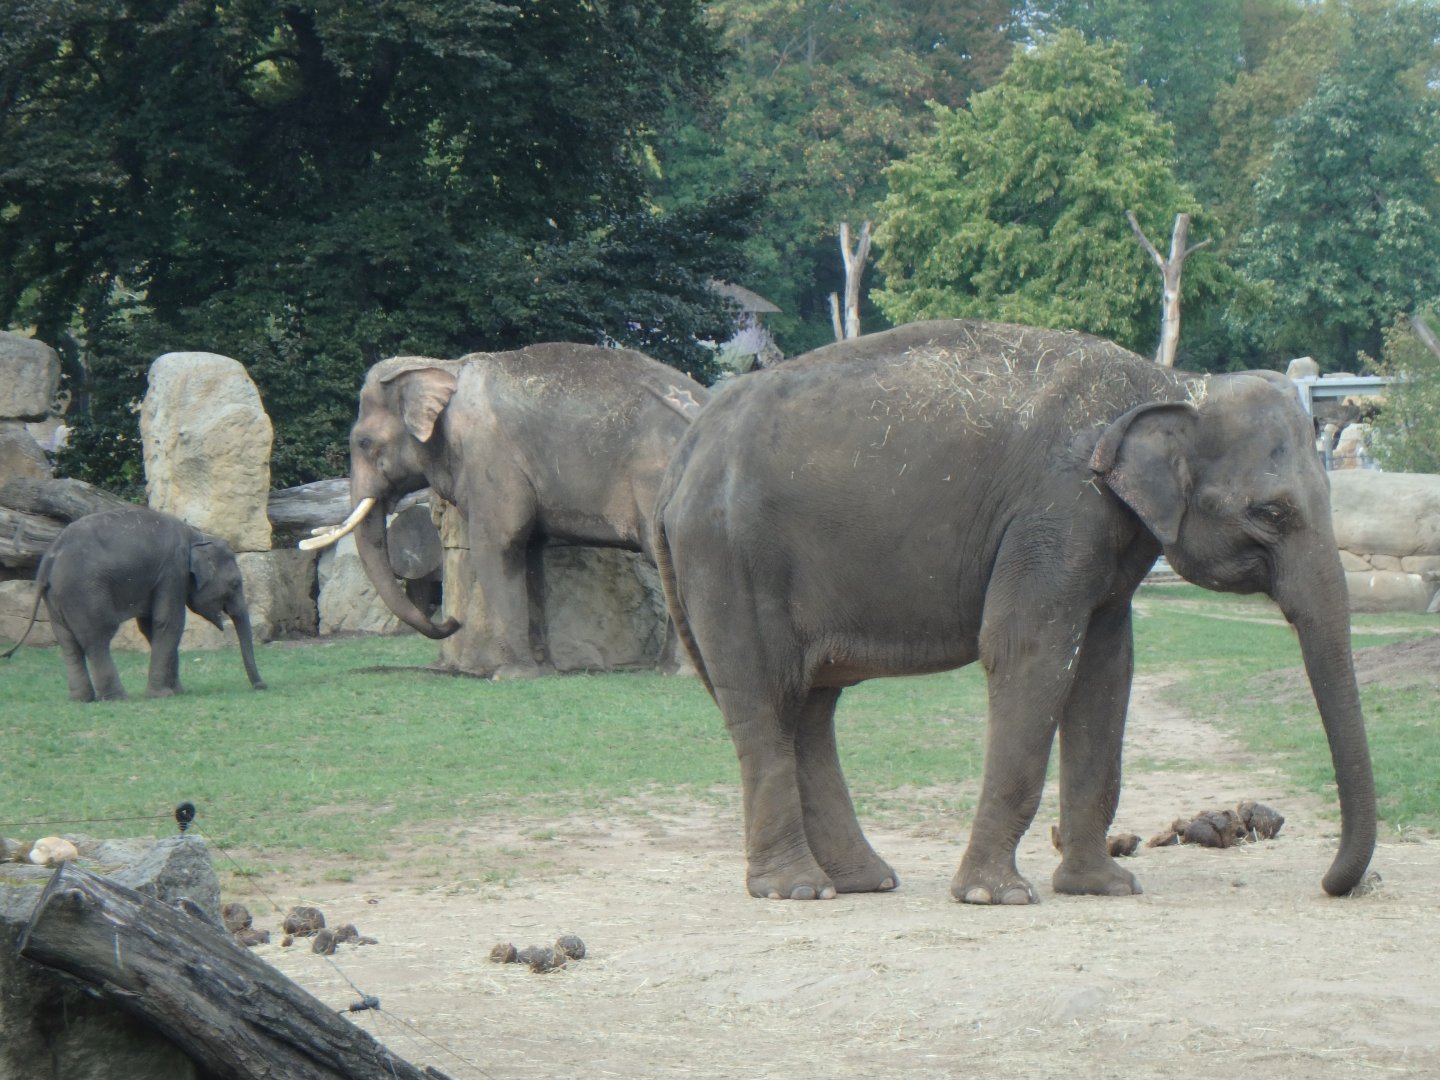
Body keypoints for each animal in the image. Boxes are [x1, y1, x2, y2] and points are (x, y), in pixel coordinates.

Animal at [3, 506, 268, 701]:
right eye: (235, 584)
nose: (262, 686)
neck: (198, 536)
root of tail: (49, 558)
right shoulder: (173, 572)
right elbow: (169, 623)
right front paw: (162, 695)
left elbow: (150, 626)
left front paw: (176, 692)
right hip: (84, 592)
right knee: (98, 638)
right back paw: (117, 697)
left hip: (56, 600)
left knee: (69, 644)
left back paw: (82, 699)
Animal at [302, 343, 709, 679]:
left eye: (363, 442)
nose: (451, 619)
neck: (442, 366)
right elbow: (528, 553)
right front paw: (543, 670)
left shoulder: (488, 458)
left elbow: (497, 546)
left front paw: (511, 675)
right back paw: (668, 668)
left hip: (659, 480)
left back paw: (682, 672)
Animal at [654, 319, 1375, 904]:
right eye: (1271, 513)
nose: (1332, 884)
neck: (1174, 384)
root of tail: (683, 452)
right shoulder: (1059, 509)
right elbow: (1028, 654)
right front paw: (995, 896)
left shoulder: (1106, 537)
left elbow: (1106, 673)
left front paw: (1104, 887)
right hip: (730, 560)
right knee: (767, 700)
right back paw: (797, 889)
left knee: (810, 708)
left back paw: (864, 881)